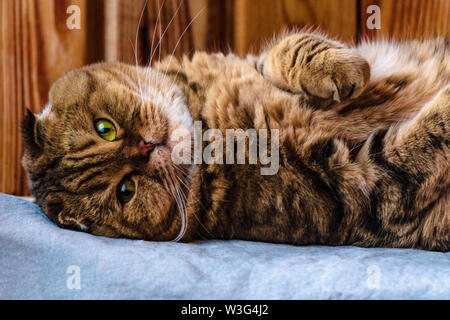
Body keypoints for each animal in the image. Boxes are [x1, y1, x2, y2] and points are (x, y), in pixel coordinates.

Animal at [21, 31, 450, 251]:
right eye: (126, 189)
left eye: (104, 128)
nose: (146, 146)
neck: (211, 124)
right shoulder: (362, 184)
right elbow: (430, 134)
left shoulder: (252, 63)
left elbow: (285, 49)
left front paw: (338, 66)